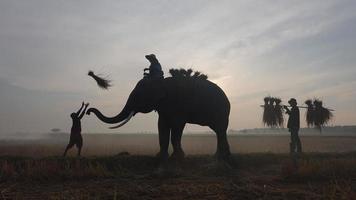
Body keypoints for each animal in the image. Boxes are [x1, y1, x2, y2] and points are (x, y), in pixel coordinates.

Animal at [86, 69, 231, 160]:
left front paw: (177, 158)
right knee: (219, 131)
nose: (88, 111)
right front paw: (160, 157)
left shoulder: (177, 104)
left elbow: (177, 126)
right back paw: (220, 157)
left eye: (138, 97)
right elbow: (162, 126)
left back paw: (221, 157)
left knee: (220, 130)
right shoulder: (163, 107)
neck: (160, 82)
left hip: (221, 110)